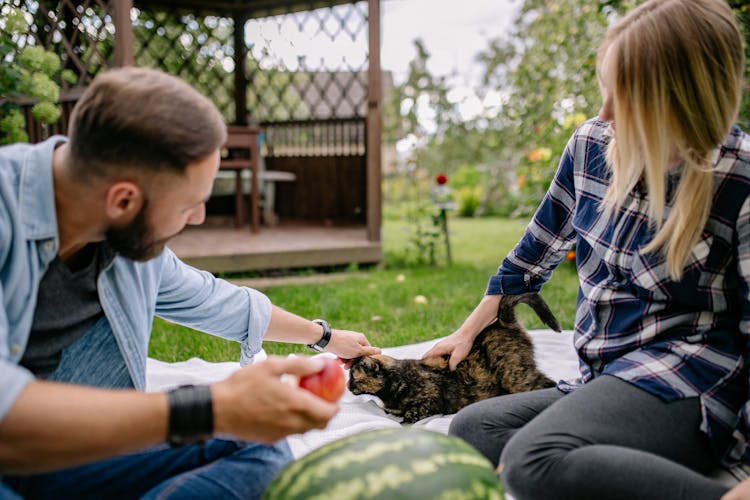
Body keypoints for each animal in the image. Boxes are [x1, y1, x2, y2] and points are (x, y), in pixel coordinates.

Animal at [350, 294, 560, 424]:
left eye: (354, 378)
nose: (348, 387)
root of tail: (502, 322)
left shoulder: (431, 397)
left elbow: (413, 411)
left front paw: (405, 419)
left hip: (515, 376)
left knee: (548, 385)